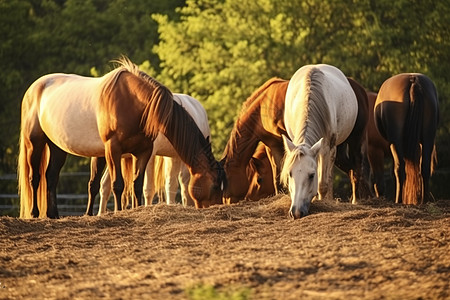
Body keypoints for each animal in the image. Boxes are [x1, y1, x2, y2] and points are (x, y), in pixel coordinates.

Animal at [17, 56, 225, 218]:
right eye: (215, 185)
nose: (217, 208)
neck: (133, 102)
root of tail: (35, 87)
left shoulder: (143, 151)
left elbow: (137, 185)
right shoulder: (113, 149)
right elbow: (119, 184)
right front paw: (118, 212)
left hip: (58, 147)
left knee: (51, 177)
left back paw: (53, 215)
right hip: (34, 143)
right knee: (35, 177)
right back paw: (35, 213)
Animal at [282, 63, 358, 218]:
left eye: (311, 176)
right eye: (290, 173)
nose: (296, 212)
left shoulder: (327, 147)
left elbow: (323, 183)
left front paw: (323, 202)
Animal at [372, 73, 440, 205]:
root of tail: (413, 80)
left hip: (396, 141)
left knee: (400, 169)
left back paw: (398, 200)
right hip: (428, 137)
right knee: (424, 167)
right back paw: (424, 201)